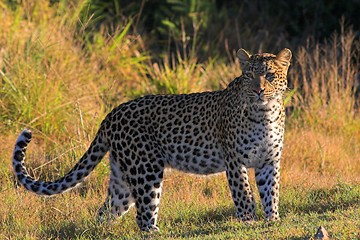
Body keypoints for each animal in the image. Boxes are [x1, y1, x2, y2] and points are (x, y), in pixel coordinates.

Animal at [11, 47, 292, 232]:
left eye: (269, 75)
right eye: (249, 76)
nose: (259, 90)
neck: (264, 112)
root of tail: (111, 114)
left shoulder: (269, 160)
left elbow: (271, 191)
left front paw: (273, 220)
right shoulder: (235, 160)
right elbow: (243, 193)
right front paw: (249, 222)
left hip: (123, 176)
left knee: (107, 211)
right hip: (145, 170)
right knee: (144, 215)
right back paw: (156, 233)